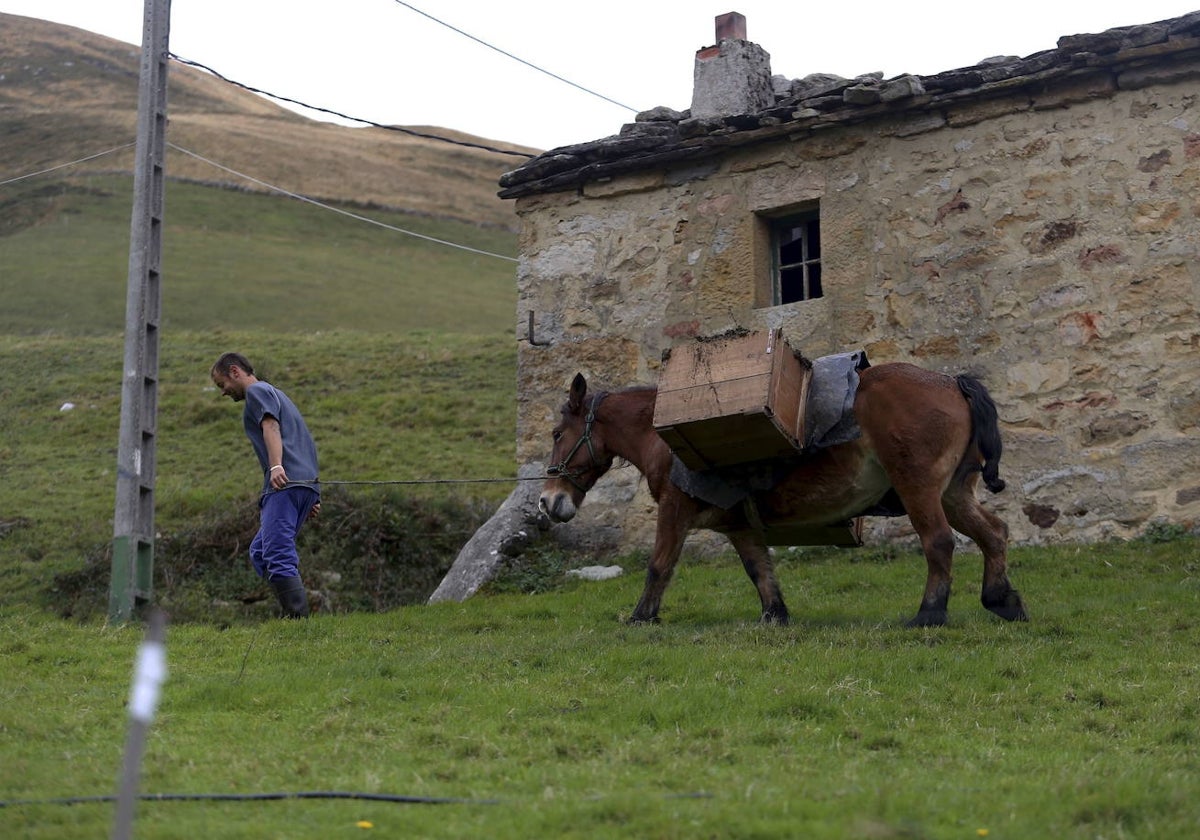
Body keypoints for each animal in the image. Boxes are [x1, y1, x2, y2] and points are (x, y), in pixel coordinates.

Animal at [540, 364, 1027, 628]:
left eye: (557, 433)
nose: (547, 501)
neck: (662, 437)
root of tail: (951, 382)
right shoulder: (739, 526)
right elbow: (760, 570)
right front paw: (775, 615)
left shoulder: (675, 512)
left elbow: (659, 566)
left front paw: (642, 617)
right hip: (953, 494)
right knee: (994, 534)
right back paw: (1001, 600)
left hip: (918, 489)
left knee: (939, 542)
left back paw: (929, 614)